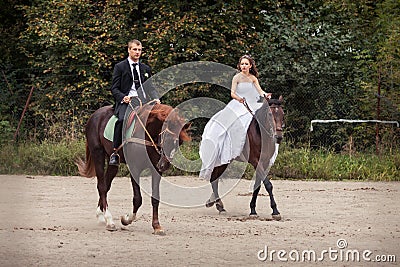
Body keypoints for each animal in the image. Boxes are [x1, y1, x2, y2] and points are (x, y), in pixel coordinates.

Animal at [78, 102, 192, 234]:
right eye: (166, 138)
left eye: (179, 143)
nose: (164, 165)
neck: (147, 134)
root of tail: (95, 114)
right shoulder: (134, 168)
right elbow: (138, 199)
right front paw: (126, 219)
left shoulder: (156, 170)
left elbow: (155, 198)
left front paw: (157, 226)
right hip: (98, 154)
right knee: (101, 186)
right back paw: (109, 221)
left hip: (113, 163)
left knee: (106, 185)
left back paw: (101, 216)